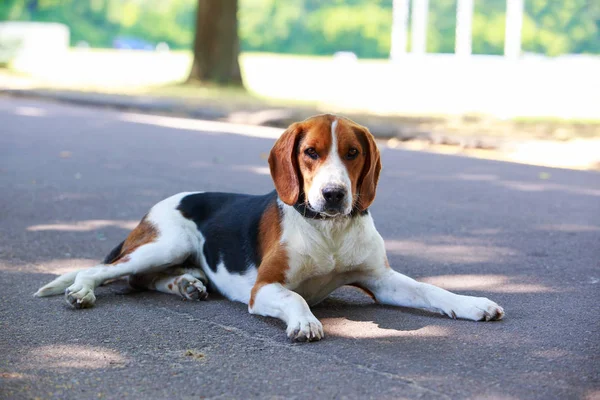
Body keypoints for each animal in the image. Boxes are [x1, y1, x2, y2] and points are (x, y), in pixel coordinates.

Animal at [35, 114, 504, 342]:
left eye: (353, 153)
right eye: (311, 152)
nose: (334, 194)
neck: (329, 231)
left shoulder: (381, 280)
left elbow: (431, 290)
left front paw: (471, 303)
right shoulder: (266, 288)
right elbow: (296, 297)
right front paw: (306, 323)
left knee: (144, 280)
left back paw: (187, 285)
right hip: (164, 243)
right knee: (105, 271)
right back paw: (82, 292)